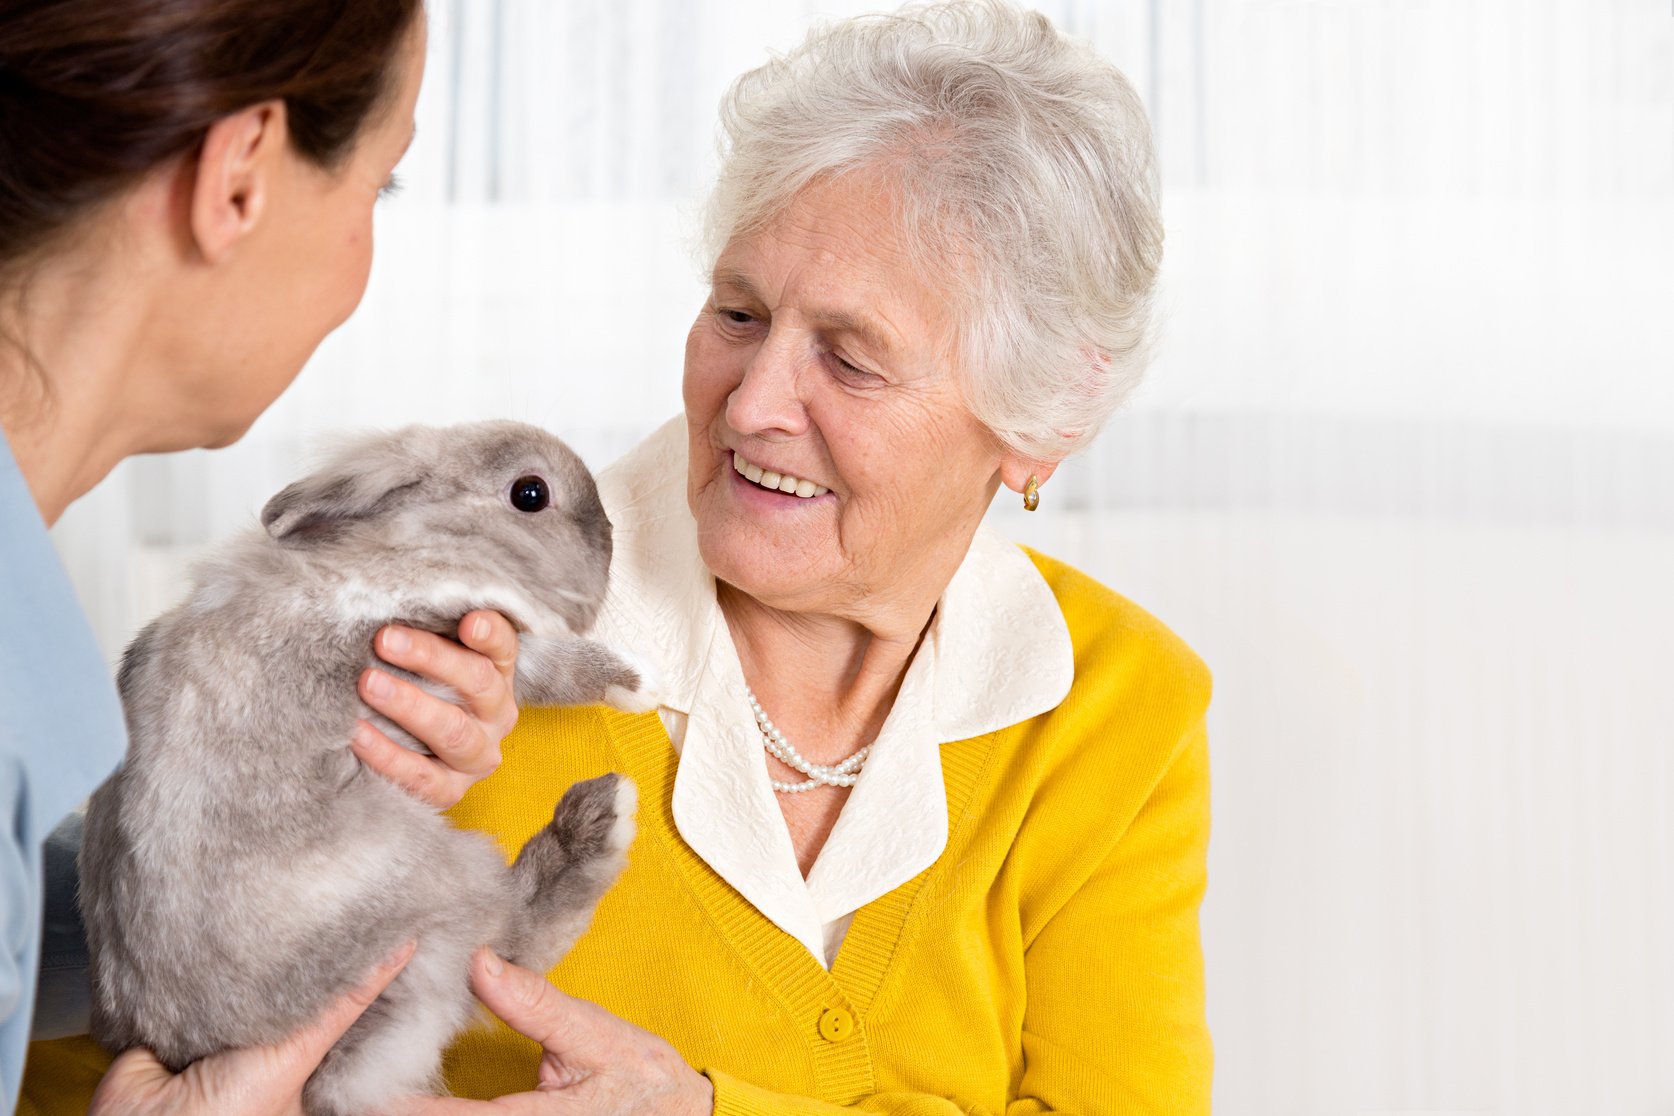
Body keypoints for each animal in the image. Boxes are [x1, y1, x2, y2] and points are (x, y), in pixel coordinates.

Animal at [81, 421, 649, 1116]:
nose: (612, 535)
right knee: (508, 942)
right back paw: (599, 816)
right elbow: (544, 663)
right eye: (530, 493)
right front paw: (636, 683)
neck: (428, 535)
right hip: (432, 879)